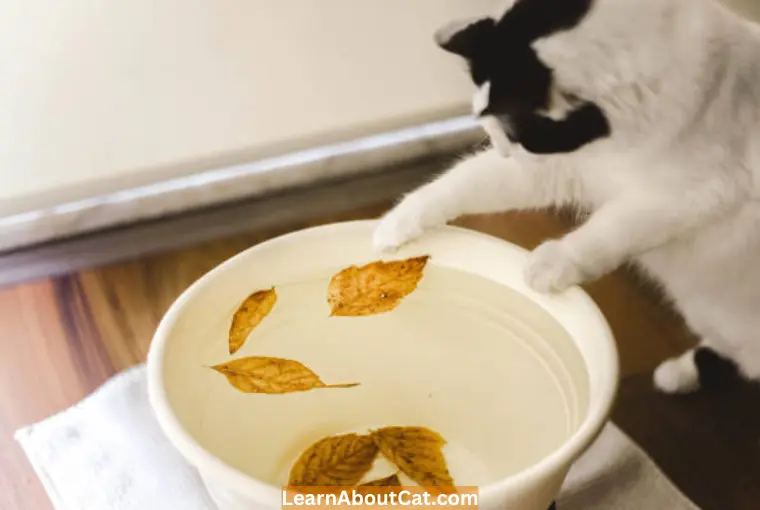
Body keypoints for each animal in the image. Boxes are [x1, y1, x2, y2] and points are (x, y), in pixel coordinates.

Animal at [372, 0, 760, 394]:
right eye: (494, 134)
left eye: (509, 136)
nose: (504, 152)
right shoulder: (559, 166)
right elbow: (458, 182)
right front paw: (395, 224)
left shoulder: (690, 194)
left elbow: (611, 229)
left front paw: (551, 265)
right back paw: (676, 375)